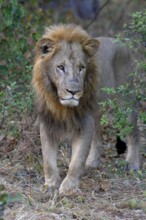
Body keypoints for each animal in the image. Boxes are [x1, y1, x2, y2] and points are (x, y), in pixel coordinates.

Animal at [32, 23, 140, 194]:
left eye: (81, 68)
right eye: (60, 67)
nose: (73, 91)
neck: (62, 105)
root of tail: (121, 42)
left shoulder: (84, 122)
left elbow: (76, 160)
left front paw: (69, 187)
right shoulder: (48, 123)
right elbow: (48, 160)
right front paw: (50, 185)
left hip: (125, 103)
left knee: (134, 132)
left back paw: (133, 164)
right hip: (96, 112)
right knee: (98, 138)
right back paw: (91, 163)